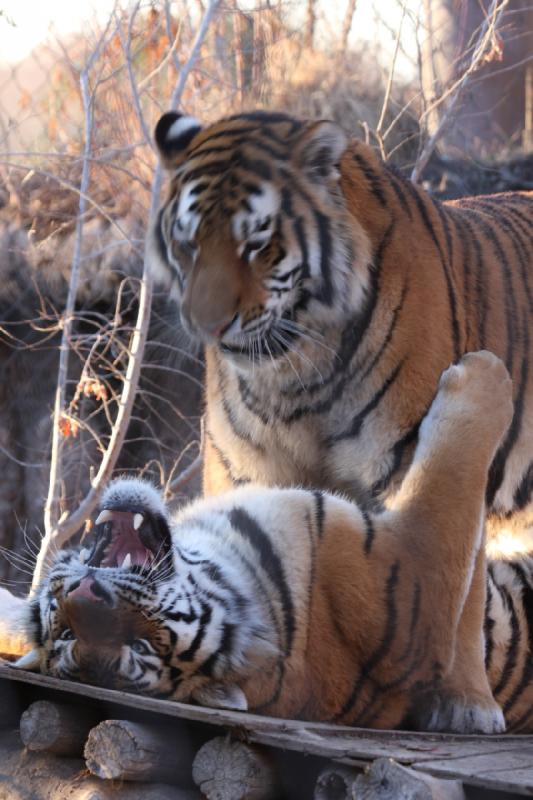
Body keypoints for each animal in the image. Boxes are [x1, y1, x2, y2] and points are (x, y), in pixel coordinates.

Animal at [15, 354, 532, 736]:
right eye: (143, 645)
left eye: (64, 632)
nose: (84, 592)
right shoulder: (416, 563)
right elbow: (453, 472)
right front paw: (485, 371)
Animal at [149, 109, 532, 736]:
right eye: (188, 242)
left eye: (257, 243)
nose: (205, 324)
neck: (294, 370)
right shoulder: (248, 475)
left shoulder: (412, 469)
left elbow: (465, 593)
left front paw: (466, 703)